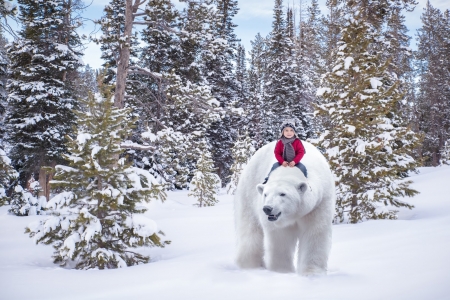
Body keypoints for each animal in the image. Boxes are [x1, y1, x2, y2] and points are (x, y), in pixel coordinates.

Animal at [234, 141, 336, 276]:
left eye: (282, 194)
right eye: (266, 194)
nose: (267, 208)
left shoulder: (318, 204)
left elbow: (315, 231)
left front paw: (312, 272)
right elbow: (281, 237)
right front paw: (282, 271)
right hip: (248, 193)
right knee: (250, 231)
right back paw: (249, 264)